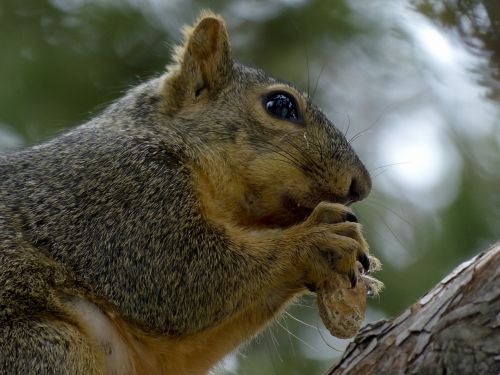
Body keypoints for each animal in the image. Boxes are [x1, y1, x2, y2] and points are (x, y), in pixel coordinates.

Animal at [0, 10, 372, 374]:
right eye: (280, 105)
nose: (361, 185)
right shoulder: (117, 195)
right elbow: (182, 274)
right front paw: (316, 239)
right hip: (47, 346)